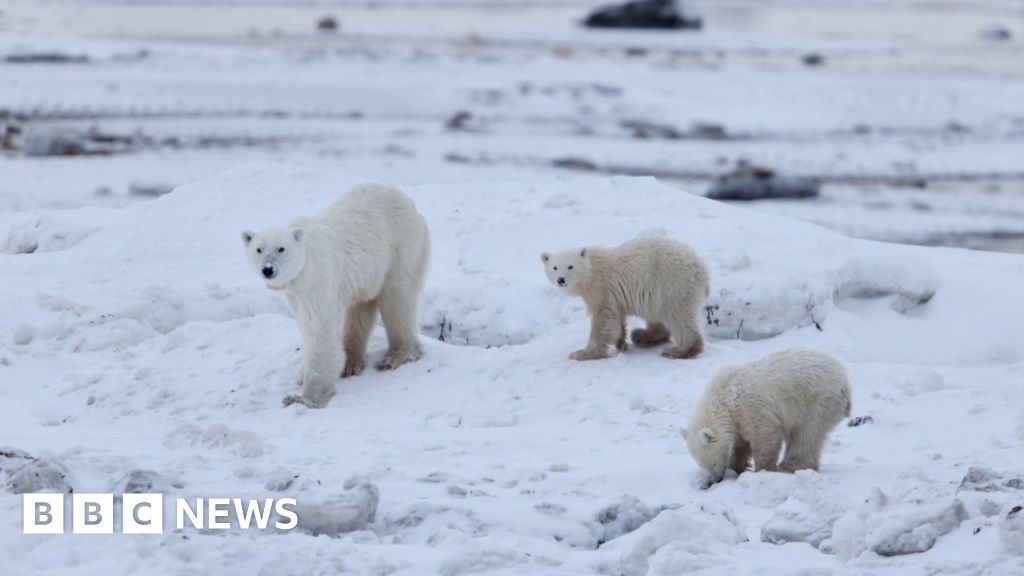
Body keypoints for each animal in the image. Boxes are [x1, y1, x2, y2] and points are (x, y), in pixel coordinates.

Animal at [242, 183, 430, 408]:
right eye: (259, 249)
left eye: (281, 249)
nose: (268, 270)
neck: (305, 266)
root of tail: (410, 203)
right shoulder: (296, 294)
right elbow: (305, 326)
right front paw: (302, 377)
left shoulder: (319, 280)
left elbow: (319, 328)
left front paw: (304, 398)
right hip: (369, 272)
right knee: (361, 305)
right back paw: (351, 362)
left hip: (401, 247)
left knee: (397, 298)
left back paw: (396, 356)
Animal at [540, 236, 709, 360]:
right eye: (555, 267)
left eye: (570, 266)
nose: (561, 280)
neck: (591, 271)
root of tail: (702, 267)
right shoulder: (614, 296)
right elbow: (617, 318)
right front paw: (620, 343)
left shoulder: (602, 289)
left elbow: (603, 319)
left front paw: (582, 353)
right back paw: (643, 336)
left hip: (673, 284)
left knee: (679, 316)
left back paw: (680, 350)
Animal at [682, 347, 852, 486]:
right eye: (703, 466)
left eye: (711, 464)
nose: (717, 479)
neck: (724, 395)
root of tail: (845, 383)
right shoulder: (738, 420)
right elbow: (741, 442)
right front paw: (737, 466)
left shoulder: (750, 405)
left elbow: (764, 434)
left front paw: (763, 469)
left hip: (816, 402)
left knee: (806, 435)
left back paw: (791, 466)